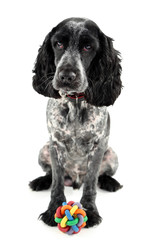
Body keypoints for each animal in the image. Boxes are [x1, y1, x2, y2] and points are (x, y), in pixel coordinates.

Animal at [29, 17, 122, 228]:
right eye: (58, 44)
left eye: (88, 47)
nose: (66, 76)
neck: (75, 103)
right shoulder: (55, 144)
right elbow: (56, 182)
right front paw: (53, 210)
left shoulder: (98, 146)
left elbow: (91, 183)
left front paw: (90, 211)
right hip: (44, 149)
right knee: (51, 175)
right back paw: (40, 181)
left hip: (111, 154)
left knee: (101, 176)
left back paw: (109, 182)